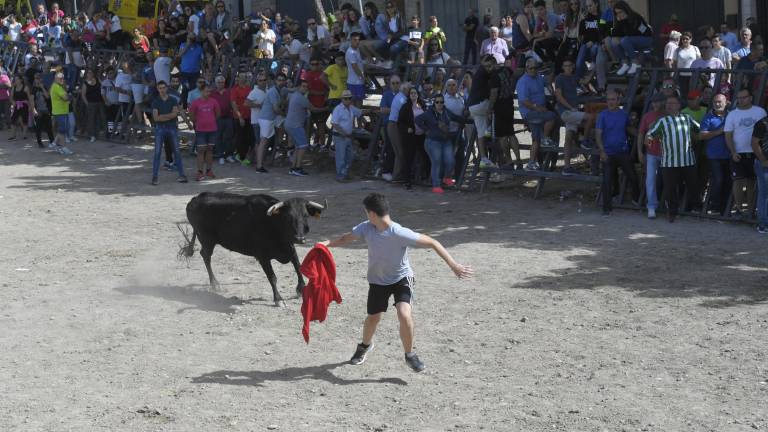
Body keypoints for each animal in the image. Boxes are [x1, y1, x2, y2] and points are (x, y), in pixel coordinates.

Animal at [181, 192, 328, 308]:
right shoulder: (262, 256)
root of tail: (195, 198)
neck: (273, 224)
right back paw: (215, 284)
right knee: (206, 256)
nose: (300, 238)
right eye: (287, 217)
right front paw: (278, 299)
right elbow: (272, 277)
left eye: (306, 216)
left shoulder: (290, 249)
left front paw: (301, 289)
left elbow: (298, 266)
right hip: (206, 240)